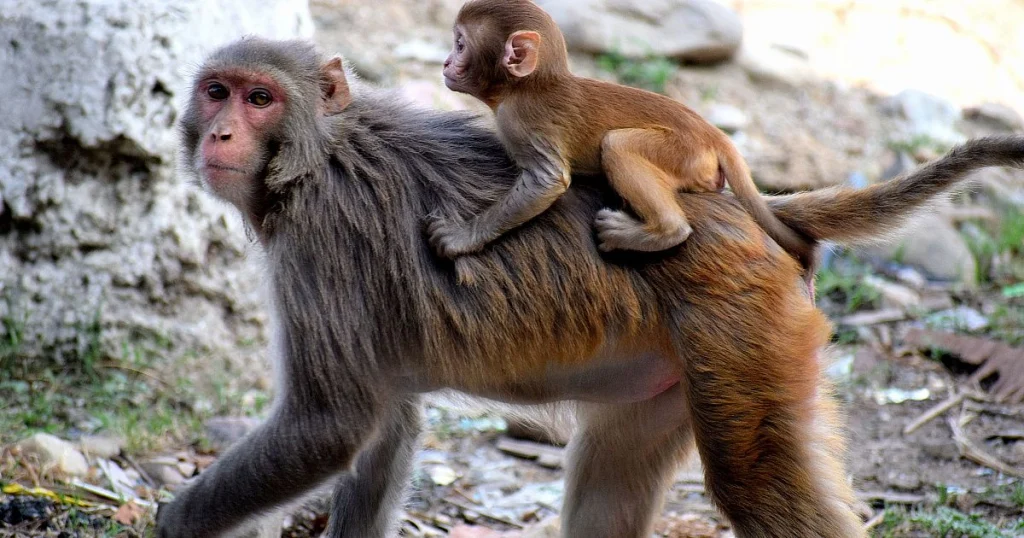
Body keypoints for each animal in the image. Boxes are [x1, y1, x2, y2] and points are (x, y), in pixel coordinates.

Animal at [156, 36, 1024, 538]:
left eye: (260, 98)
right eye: (218, 91)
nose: (223, 132)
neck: (313, 157)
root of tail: (741, 207)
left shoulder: (320, 246)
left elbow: (332, 424)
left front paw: (176, 522)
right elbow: (384, 428)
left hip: (747, 331)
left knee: (753, 482)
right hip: (687, 367)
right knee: (614, 474)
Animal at [427, 0, 813, 275]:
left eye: (460, 44)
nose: (445, 63)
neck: (527, 86)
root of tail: (713, 135)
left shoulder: (521, 120)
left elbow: (547, 181)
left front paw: (462, 237)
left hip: (683, 153)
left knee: (618, 145)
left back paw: (660, 232)